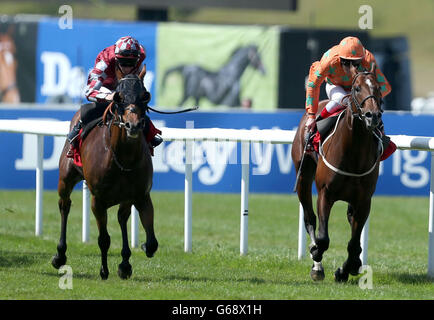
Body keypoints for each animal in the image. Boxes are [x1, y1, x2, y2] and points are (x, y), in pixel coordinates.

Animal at [52, 74, 158, 278]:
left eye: (145, 96)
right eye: (118, 97)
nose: (133, 125)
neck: (123, 159)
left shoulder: (141, 196)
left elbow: (151, 243)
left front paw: (128, 261)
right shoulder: (98, 200)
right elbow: (104, 239)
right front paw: (104, 270)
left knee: (122, 217)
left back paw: (125, 263)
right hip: (65, 178)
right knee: (64, 205)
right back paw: (60, 255)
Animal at [292, 65, 384, 282]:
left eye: (378, 88)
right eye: (357, 88)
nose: (373, 116)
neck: (354, 153)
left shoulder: (364, 200)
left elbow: (354, 243)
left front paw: (345, 269)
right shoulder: (325, 194)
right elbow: (323, 238)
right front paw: (316, 255)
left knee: (351, 222)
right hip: (303, 177)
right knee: (309, 218)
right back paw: (317, 264)